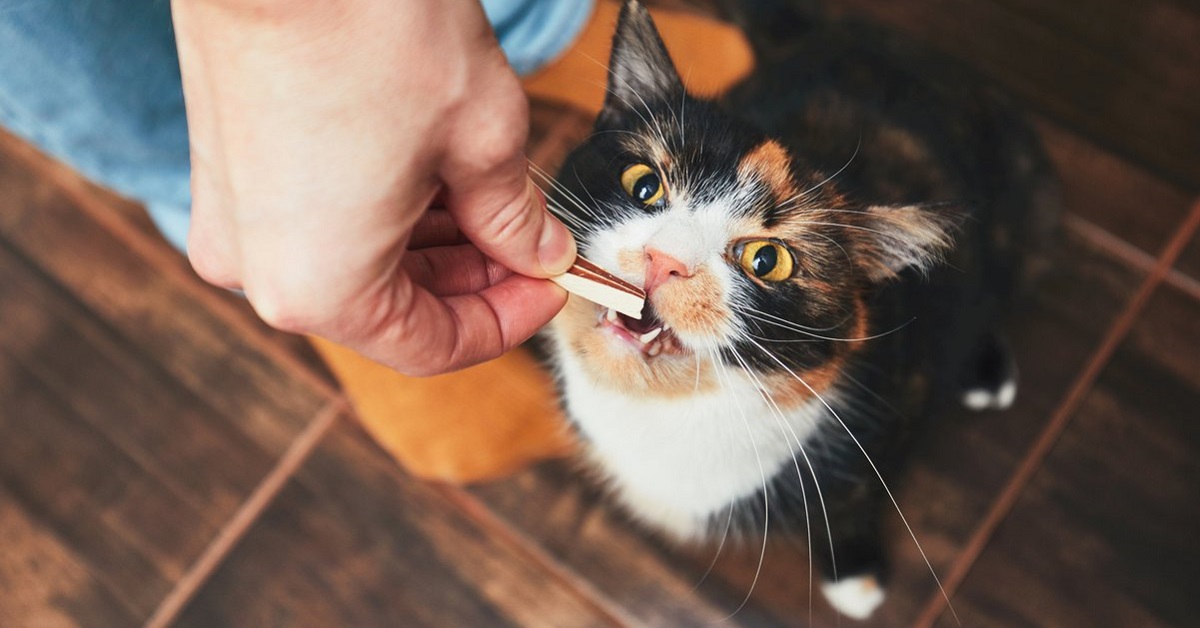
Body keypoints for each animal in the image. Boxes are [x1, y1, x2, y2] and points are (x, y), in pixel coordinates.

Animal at [540, 0, 1056, 619]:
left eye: (767, 260)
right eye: (644, 185)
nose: (664, 260)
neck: (667, 410)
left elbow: (856, 496)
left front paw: (856, 575)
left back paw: (987, 371)